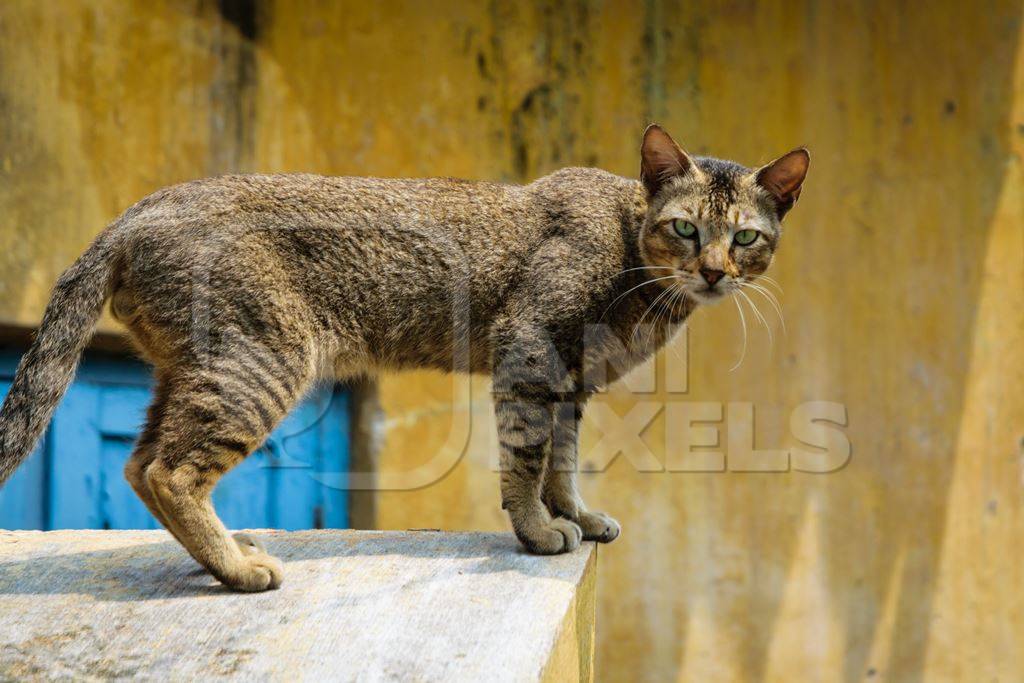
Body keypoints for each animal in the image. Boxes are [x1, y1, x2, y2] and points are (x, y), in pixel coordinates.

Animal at [0, 126, 806, 593]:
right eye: (684, 227)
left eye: (745, 238)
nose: (712, 271)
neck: (632, 257)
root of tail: (133, 214)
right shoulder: (531, 351)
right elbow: (527, 459)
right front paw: (537, 531)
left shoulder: (572, 382)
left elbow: (564, 460)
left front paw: (574, 514)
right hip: (257, 364)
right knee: (169, 471)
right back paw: (237, 568)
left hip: (193, 370)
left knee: (140, 464)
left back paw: (219, 556)